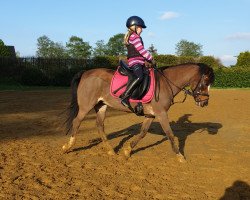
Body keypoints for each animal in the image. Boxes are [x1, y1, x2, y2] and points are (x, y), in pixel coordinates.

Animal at [62, 62, 215, 162]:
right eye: (206, 81)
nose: (205, 102)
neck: (166, 83)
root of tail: (86, 73)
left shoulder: (151, 115)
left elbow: (142, 132)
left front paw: (127, 151)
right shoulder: (161, 114)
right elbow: (170, 134)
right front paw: (180, 156)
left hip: (101, 105)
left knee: (100, 125)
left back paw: (110, 150)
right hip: (86, 105)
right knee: (77, 121)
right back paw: (67, 147)